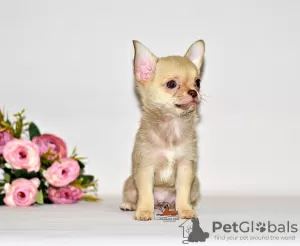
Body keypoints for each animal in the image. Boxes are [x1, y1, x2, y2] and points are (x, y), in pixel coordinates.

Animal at [120, 39, 205, 220]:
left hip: (196, 184)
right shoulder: (146, 168)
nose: (194, 92)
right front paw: (144, 211)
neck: (172, 125)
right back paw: (129, 205)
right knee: (134, 196)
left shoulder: (185, 167)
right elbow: (146, 193)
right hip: (130, 184)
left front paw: (185, 209)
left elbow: (183, 192)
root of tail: (162, 201)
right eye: (171, 84)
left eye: (198, 83)